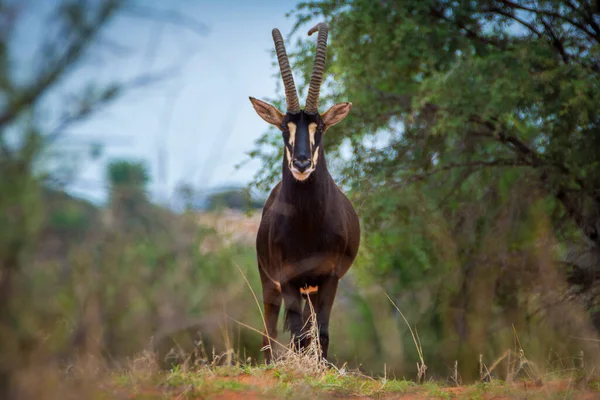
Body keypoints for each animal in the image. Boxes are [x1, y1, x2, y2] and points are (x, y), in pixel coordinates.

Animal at [248, 22, 360, 362]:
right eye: (284, 127)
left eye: (319, 127)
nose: (301, 162)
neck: (309, 224)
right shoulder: (287, 279)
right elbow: (297, 335)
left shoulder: (329, 278)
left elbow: (321, 334)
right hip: (271, 282)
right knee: (270, 328)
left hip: (310, 289)